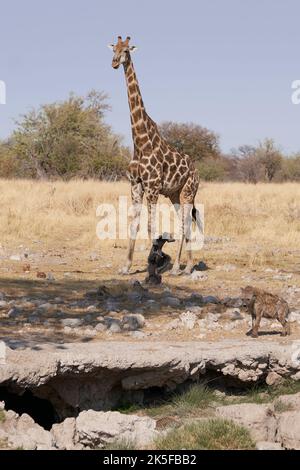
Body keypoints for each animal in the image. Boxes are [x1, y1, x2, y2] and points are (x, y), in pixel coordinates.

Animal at [109, 37, 200, 276]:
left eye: (126, 50)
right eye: (113, 49)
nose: (114, 62)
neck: (140, 141)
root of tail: (197, 171)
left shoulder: (152, 187)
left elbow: (151, 226)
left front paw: (157, 262)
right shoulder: (136, 185)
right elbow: (135, 224)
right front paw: (126, 266)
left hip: (188, 191)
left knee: (186, 223)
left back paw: (181, 267)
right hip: (175, 194)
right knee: (184, 223)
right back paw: (184, 266)